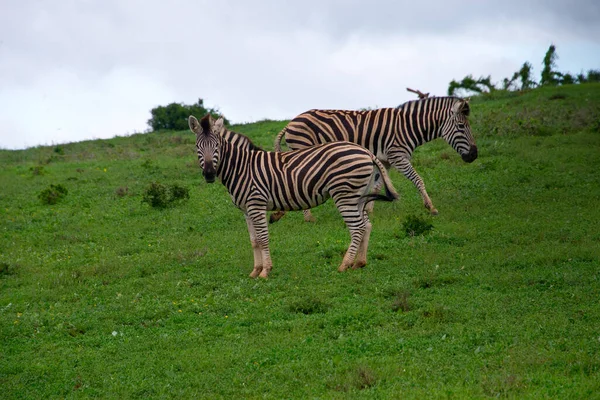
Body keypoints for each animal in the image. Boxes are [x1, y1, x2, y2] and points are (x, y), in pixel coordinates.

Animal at [190, 113, 400, 278]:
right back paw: (359, 263)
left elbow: (263, 238)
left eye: (217, 146)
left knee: (357, 228)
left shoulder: (257, 205)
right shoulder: (246, 210)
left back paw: (344, 265)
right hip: (358, 197)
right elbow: (254, 241)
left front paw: (265, 271)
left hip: (345, 195)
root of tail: (366, 152)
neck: (241, 167)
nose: (209, 174)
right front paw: (255, 271)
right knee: (367, 225)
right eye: (198, 147)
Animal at [272, 95, 478, 223]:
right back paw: (308, 218)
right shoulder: (398, 155)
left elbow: (378, 184)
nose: (474, 155)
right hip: (303, 150)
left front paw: (369, 209)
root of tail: (292, 122)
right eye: (461, 126)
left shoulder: (384, 160)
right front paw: (431, 207)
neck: (408, 126)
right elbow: (418, 179)